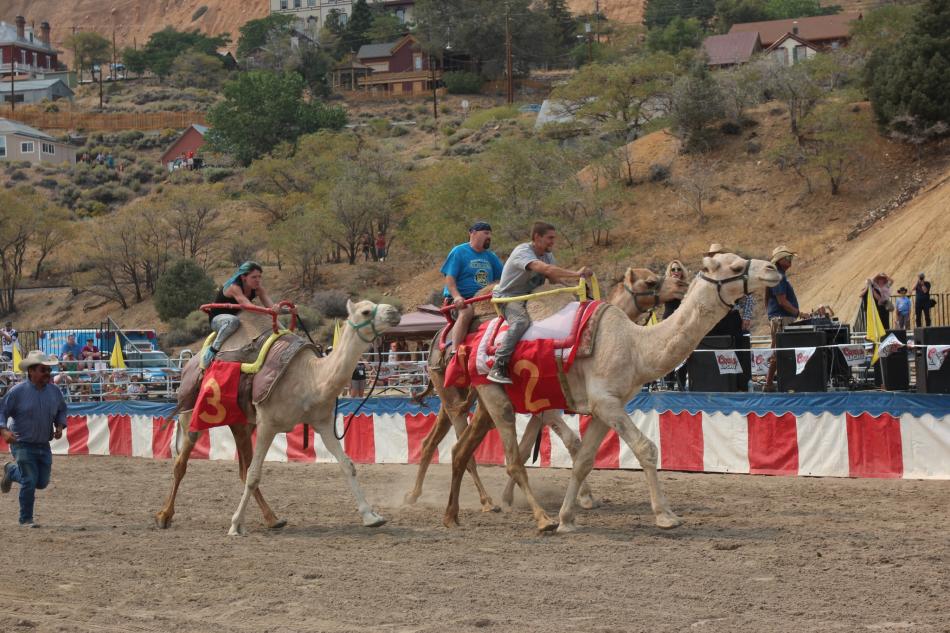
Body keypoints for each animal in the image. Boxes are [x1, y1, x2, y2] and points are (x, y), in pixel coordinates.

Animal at [231, 300, 402, 532]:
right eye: (366, 311)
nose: (394, 312)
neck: (309, 379)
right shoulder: (267, 423)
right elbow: (254, 474)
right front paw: (235, 525)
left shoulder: (322, 422)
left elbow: (347, 465)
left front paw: (371, 516)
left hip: (244, 424)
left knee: (241, 468)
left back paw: (274, 520)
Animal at [400, 264, 684, 512]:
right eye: (650, 281)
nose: (680, 284)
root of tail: (436, 340)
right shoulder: (548, 404)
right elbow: (571, 442)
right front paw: (586, 498)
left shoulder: (542, 405)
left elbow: (527, 448)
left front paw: (511, 498)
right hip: (451, 393)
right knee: (463, 447)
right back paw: (485, 501)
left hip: (452, 399)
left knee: (431, 440)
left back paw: (413, 495)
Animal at [442, 252, 784, 532]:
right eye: (736, 266)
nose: (772, 270)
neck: (636, 347)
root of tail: (471, 342)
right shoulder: (607, 403)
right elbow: (646, 448)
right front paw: (666, 516)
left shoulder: (604, 407)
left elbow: (583, 460)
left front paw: (568, 518)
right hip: (495, 396)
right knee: (511, 458)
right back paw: (539, 519)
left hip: (497, 401)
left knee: (463, 449)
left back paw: (455, 515)